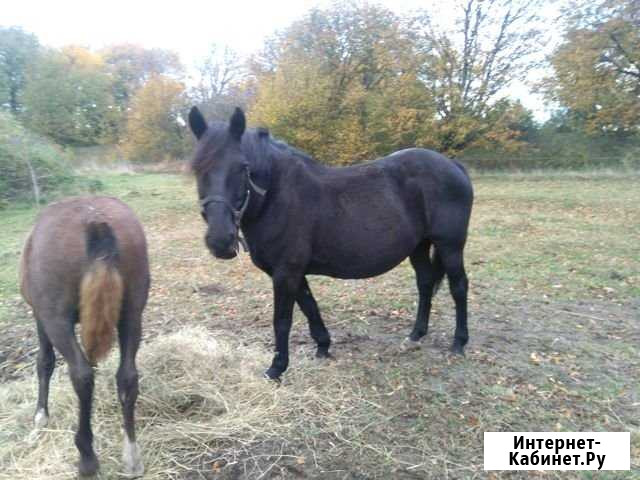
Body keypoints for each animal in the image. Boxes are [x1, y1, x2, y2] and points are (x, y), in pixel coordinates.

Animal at [188, 107, 472, 380]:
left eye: (242, 167)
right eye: (197, 168)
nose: (220, 240)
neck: (278, 196)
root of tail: (453, 165)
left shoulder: (285, 272)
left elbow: (282, 320)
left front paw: (276, 369)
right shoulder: (293, 272)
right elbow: (310, 306)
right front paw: (323, 347)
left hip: (450, 246)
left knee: (458, 287)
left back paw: (459, 343)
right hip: (419, 246)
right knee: (425, 283)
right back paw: (415, 335)